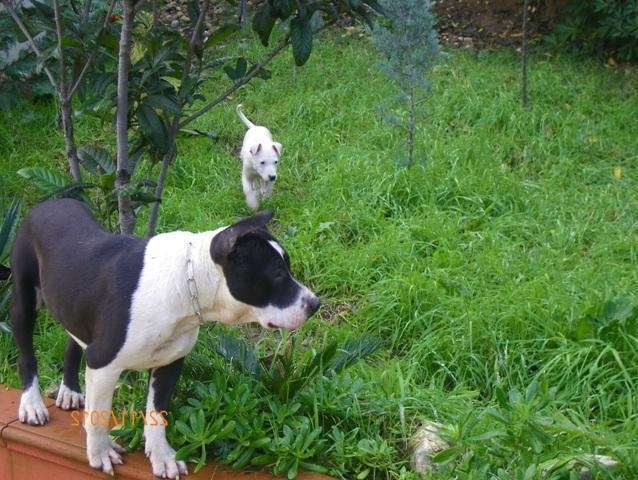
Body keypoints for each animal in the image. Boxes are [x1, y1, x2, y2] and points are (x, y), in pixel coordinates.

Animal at [10, 198, 320, 476]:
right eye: (277, 273)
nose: (315, 304)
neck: (190, 281)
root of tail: (48, 203)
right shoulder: (103, 364)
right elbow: (99, 416)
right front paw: (100, 453)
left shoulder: (170, 363)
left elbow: (157, 413)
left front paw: (162, 457)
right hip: (23, 301)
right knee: (26, 354)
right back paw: (32, 404)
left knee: (72, 342)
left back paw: (70, 390)